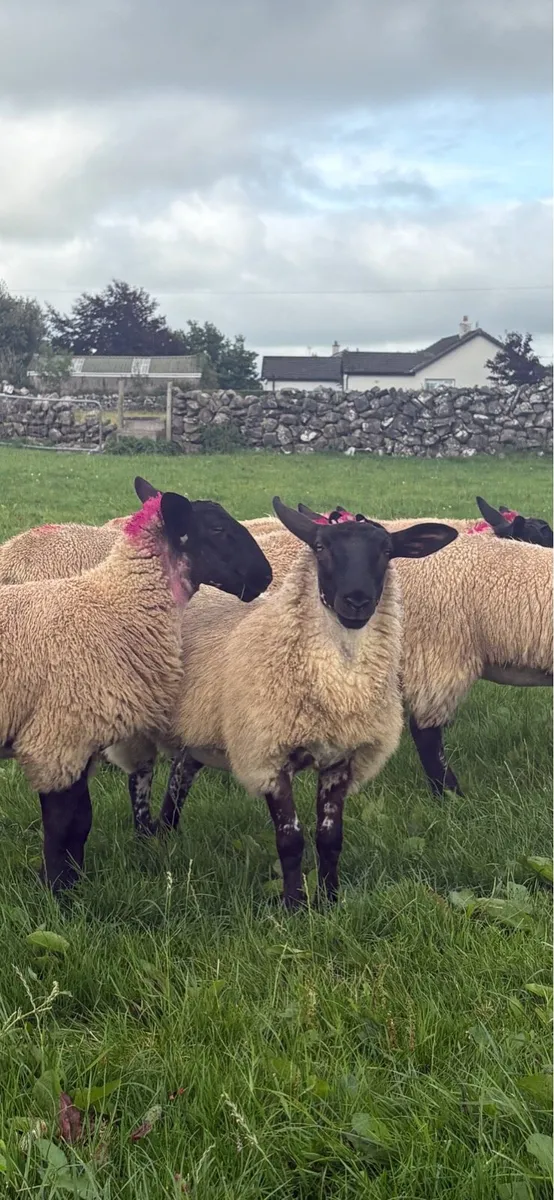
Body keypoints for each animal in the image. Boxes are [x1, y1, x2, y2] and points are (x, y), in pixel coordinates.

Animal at [0, 478, 272, 892]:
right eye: (217, 529)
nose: (266, 576)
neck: (116, 607)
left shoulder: (82, 742)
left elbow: (81, 822)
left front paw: (73, 882)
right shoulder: (57, 739)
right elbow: (61, 826)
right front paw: (57, 892)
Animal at [108, 500, 456, 905]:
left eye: (386, 552)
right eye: (320, 548)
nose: (356, 601)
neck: (337, 682)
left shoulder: (340, 758)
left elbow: (330, 838)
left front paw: (330, 900)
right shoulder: (268, 755)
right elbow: (290, 840)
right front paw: (294, 905)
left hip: (200, 725)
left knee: (180, 774)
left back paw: (167, 833)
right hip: (138, 724)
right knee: (140, 779)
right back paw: (144, 840)